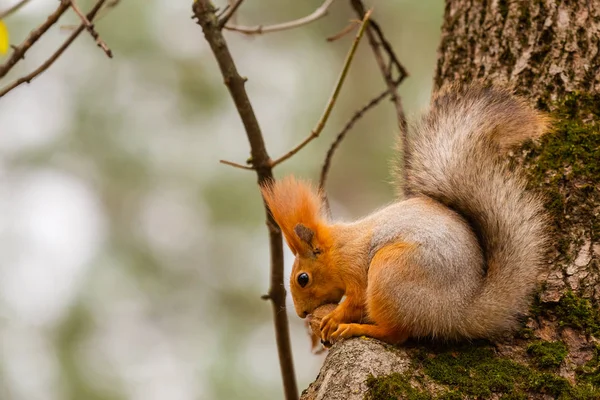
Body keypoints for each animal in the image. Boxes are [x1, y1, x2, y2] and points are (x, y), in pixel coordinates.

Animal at [260, 83, 552, 344]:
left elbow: (355, 300)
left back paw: (359, 328)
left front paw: (335, 318)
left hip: (390, 272)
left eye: (303, 279)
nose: (302, 313)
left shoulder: (356, 268)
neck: (338, 249)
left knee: (396, 334)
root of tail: (457, 313)